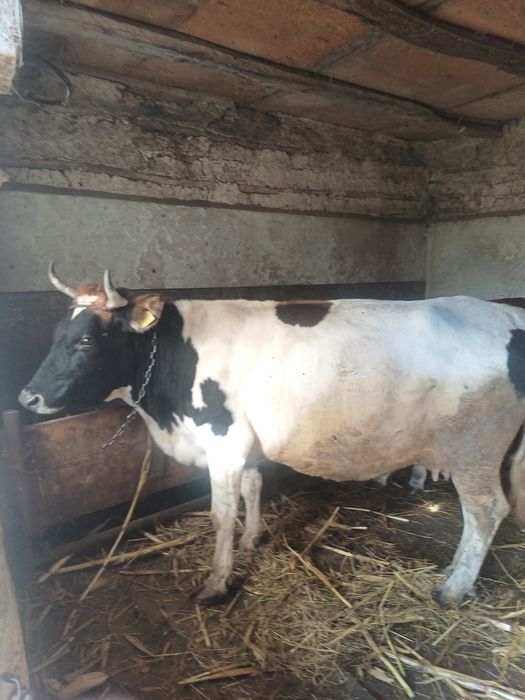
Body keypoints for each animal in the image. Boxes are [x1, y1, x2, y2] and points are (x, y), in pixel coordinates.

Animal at [19, 265, 525, 608]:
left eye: (87, 340)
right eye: (57, 332)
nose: (27, 397)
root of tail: (505, 313)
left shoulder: (222, 439)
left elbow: (221, 514)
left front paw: (216, 582)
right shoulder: (246, 441)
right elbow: (253, 485)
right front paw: (253, 538)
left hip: (475, 449)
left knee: (485, 512)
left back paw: (453, 589)